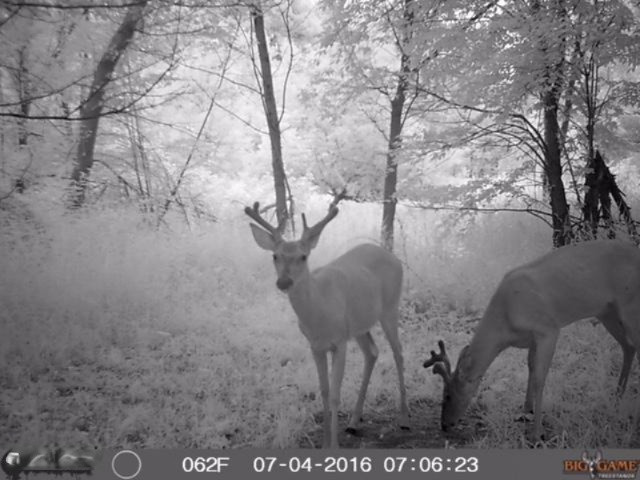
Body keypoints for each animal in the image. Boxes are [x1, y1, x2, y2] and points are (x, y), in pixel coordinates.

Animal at [244, 201, 410, 448]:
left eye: (303, 256)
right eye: (275, 256)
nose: (284, 281)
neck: (318, 316)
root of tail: (393, 257)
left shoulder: (339, 341)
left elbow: (334, 394)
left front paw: (334, 445)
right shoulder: (316, 346)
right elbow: (323, 390)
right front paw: (324, 443)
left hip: (390, 307)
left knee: (398, 352)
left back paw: (403, 417)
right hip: (359, 325)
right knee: (372, 352)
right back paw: (354, 421)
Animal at [423, 240, 640, 442]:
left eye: (448, 395)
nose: (444, 425)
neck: (506, 324)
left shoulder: (548, 329)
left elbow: (539, 378)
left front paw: (536, 434)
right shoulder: (532, 338)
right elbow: (531, 368)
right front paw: (525, 411)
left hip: (629, 305)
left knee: (633, 344)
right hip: (607, 312)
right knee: (628, 347)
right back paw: (617, 397)